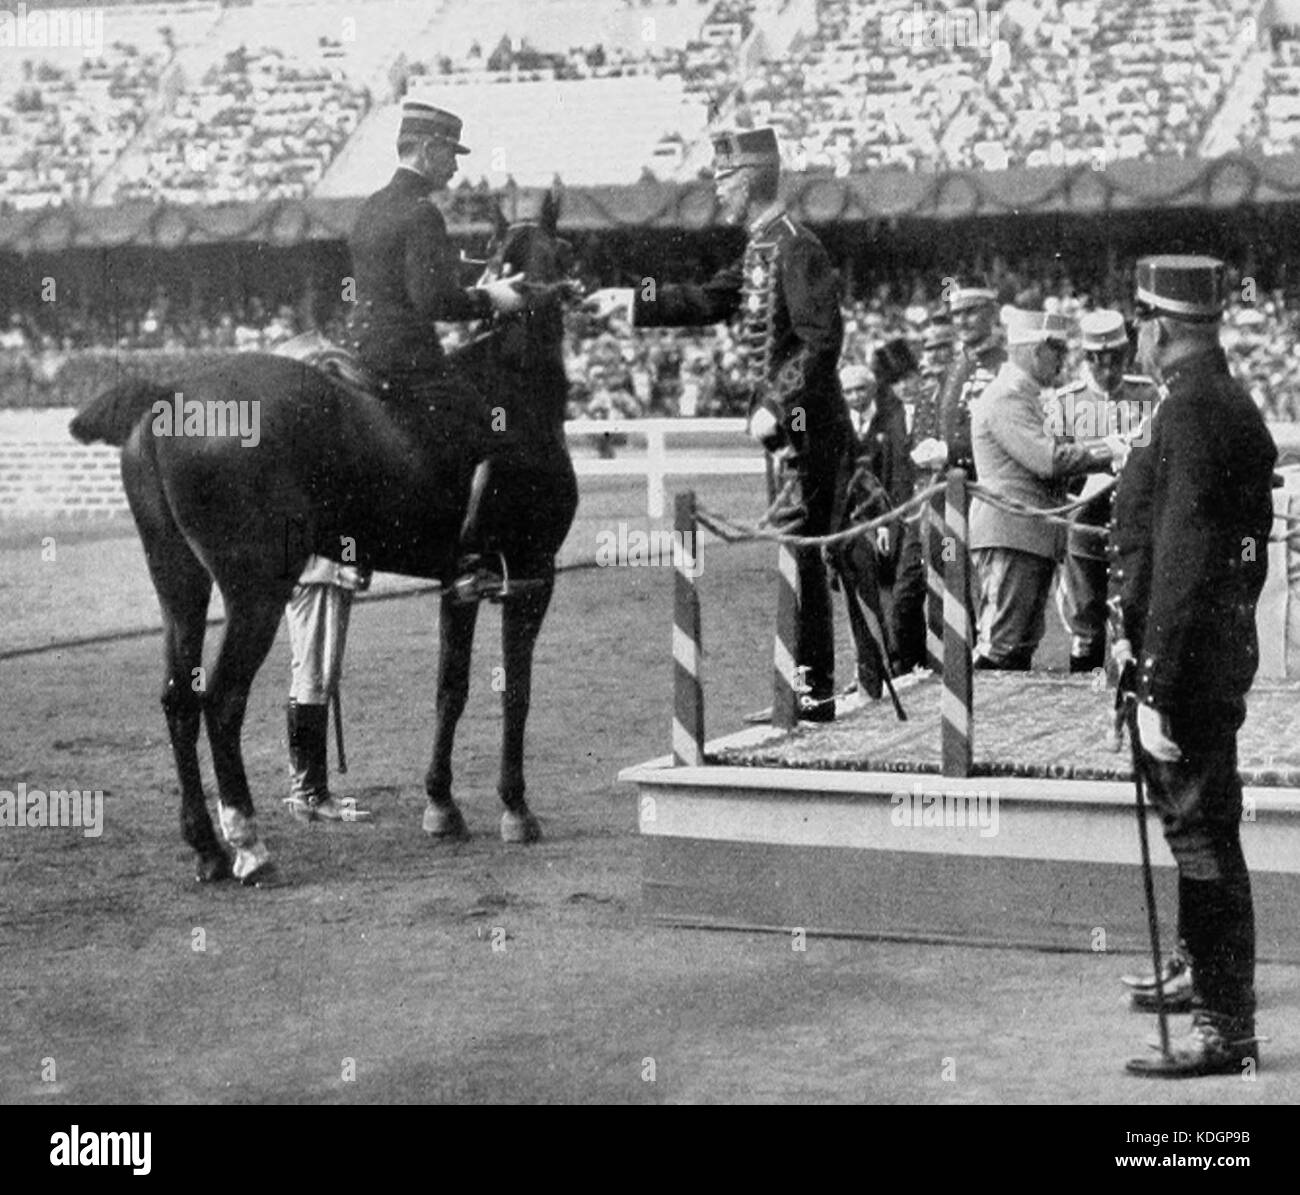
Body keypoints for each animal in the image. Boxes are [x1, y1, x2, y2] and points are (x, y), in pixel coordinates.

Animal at [71, 196, 579, 884]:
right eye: (566, 251)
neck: (513, 385)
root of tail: (167, 395)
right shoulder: (532, 575)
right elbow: (516, 694)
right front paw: (516, 808)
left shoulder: (461, 585)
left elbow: (450, 690)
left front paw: (442, 805)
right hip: (256, 593)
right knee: (222, 702)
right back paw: (248, 843)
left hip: (178, 582)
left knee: (179, 699)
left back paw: (207, 846)